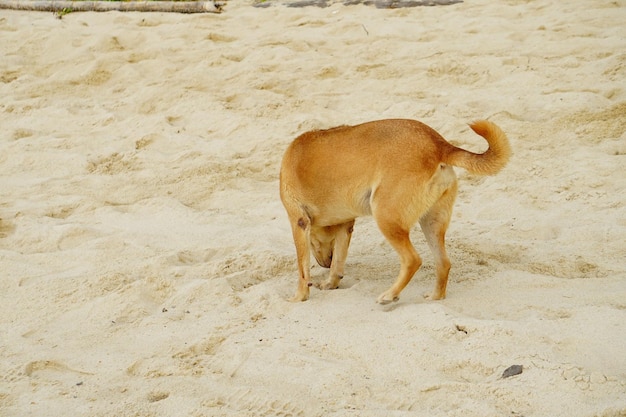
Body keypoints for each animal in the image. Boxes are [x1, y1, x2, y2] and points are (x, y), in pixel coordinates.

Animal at [278, 118, 508, 302]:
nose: (325, 264)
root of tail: (439, 144)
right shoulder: (345, 226)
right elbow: (339, 262)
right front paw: (331, 282)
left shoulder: (299, 222)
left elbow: (302, 270)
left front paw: (299, 297)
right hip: (431, 223)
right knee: (443, 263)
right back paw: (435, 296)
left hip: (385, 217)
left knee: (412, 260)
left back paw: (390, 295)